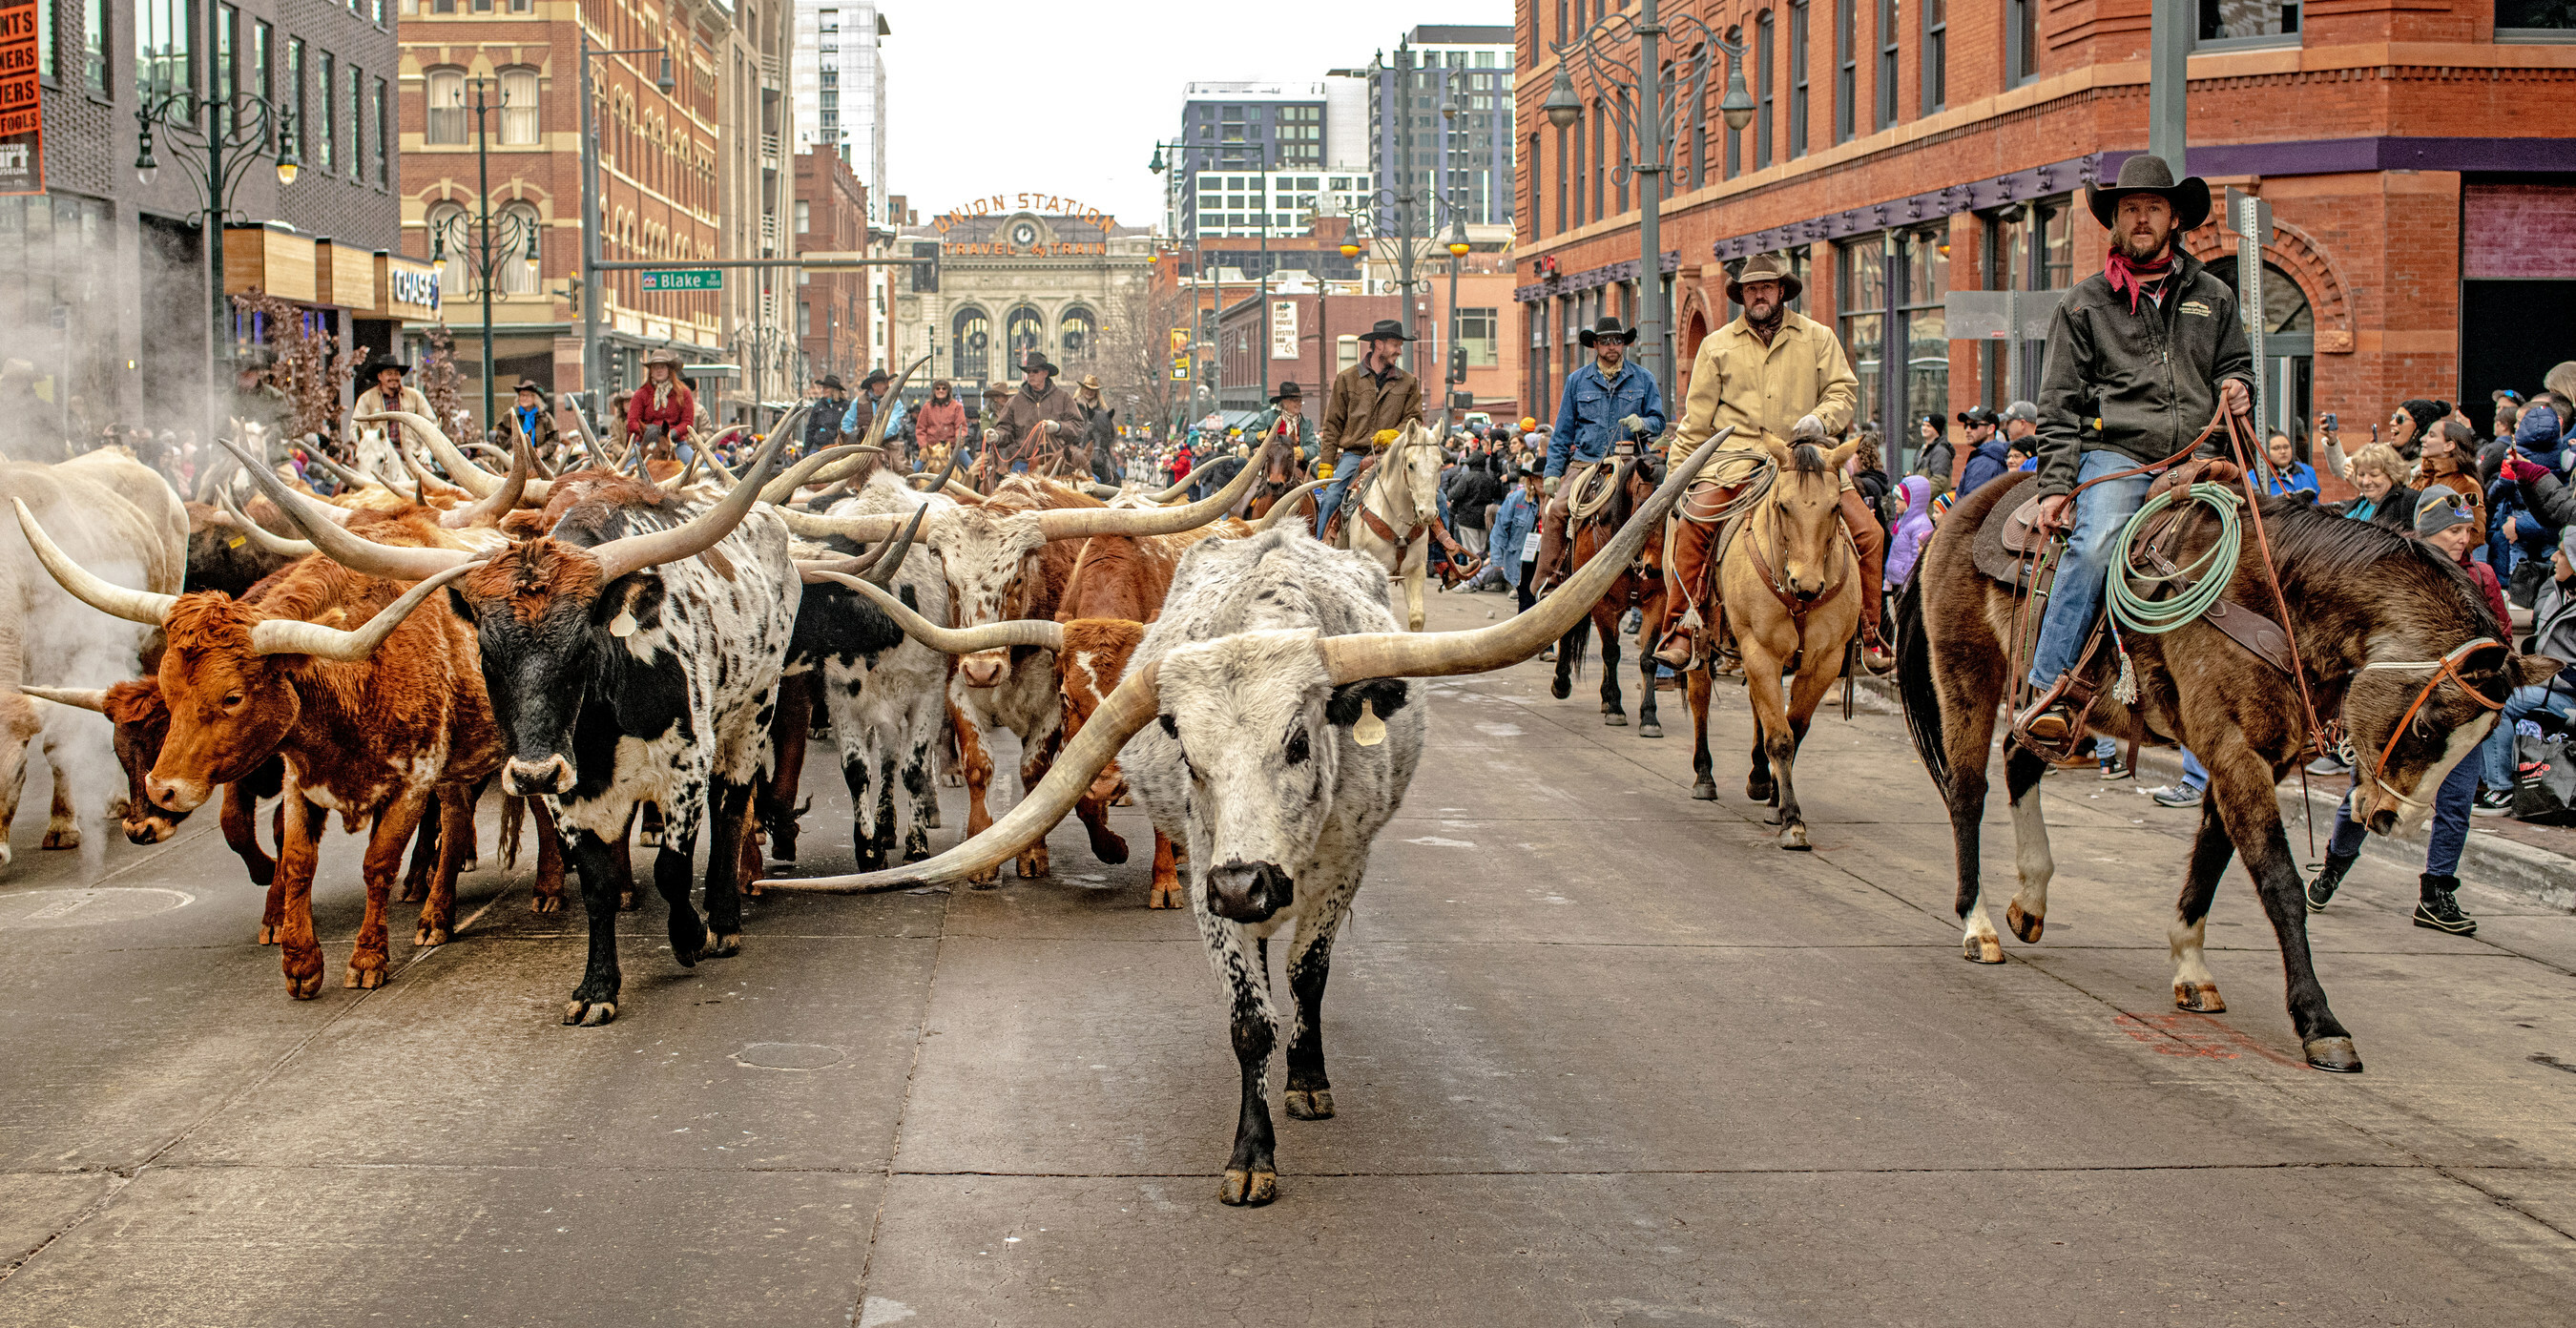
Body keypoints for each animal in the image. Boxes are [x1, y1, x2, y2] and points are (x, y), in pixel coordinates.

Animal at [1546, 445, 1669, 736]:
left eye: (1675, 509)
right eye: (1644, 505)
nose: (1655, 569)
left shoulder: (1657, 601)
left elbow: (1648, 658)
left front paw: (1649, 716)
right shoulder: (1601, 602)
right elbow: (1611, 653)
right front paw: (1615, 707)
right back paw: (1562, 683)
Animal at [1669, 437, 1875, 849]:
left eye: (1836, 507)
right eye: (1782, 504)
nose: (1807, 585)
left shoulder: (1825, 661)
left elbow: (1794, 727)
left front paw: (1777, 798)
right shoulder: (1759, 650)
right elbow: (1780, 737)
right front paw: (1792, 820)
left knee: (1756, 706)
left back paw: (1760, 779)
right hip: (1704, 639)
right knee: (1700, 696)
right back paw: (1704, 776)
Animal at [1896, 450, 2555, 1075]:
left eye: (2479, 740)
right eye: (2426, 725)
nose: (2394, 821)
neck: (2279, 600)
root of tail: (1962, 507)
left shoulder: (2257, 756)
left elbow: (2213, 857)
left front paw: (2191, 969)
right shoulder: (2235, 750)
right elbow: (2279, 880)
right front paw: (2319, 1022)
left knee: (2019, 760)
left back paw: (2030, 901)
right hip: (1967, 673)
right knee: (1967, 792)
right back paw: (1977, 924)